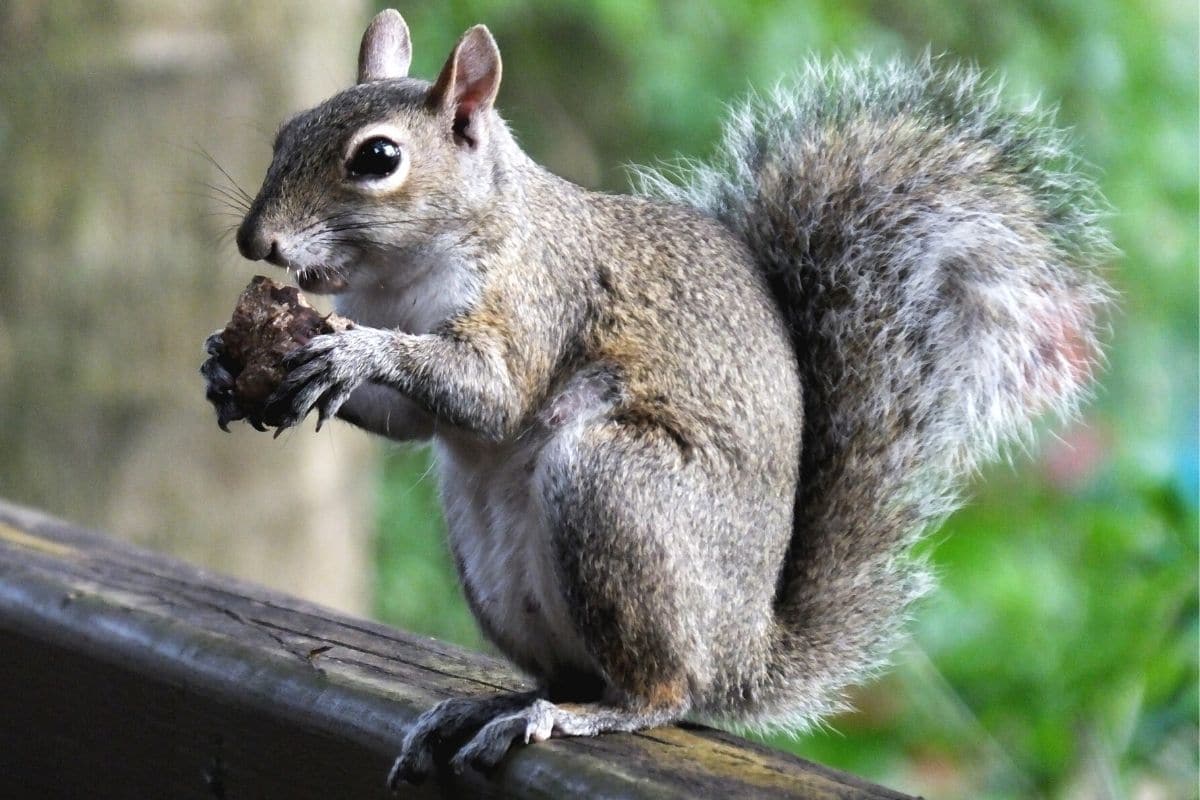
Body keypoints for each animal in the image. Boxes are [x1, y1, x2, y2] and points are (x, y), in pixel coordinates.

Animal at [199, 7, 1113, 786]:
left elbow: (492, 396)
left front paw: (357, 353)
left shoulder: (539, 298)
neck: (401, 275)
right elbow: (410, 421)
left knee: (662, 694)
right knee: (572, 671)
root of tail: (744, 652)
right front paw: (228, 367)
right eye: (285, 133)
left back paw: (578, 717)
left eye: (378, 159)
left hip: (613, 488)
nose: (255, 240)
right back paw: (488, 705)